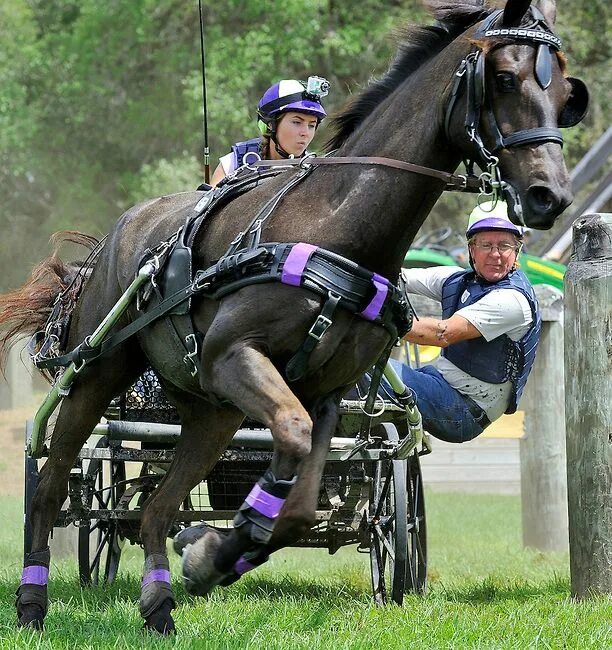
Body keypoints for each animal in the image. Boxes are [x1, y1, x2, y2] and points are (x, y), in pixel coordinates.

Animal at [1, 0, 588, 632]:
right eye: (503, 78)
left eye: (565, 93)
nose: (549, 194)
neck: (336, 225)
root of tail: (114, 237)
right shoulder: (236, 359)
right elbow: (292, 435)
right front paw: (220, 545)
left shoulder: (324, 393)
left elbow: (301, 502)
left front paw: (217, 552)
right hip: (101, 374)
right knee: (54, 484)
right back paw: (32, 600)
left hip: (211, 412)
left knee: (158, 507)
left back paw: (159, 604)